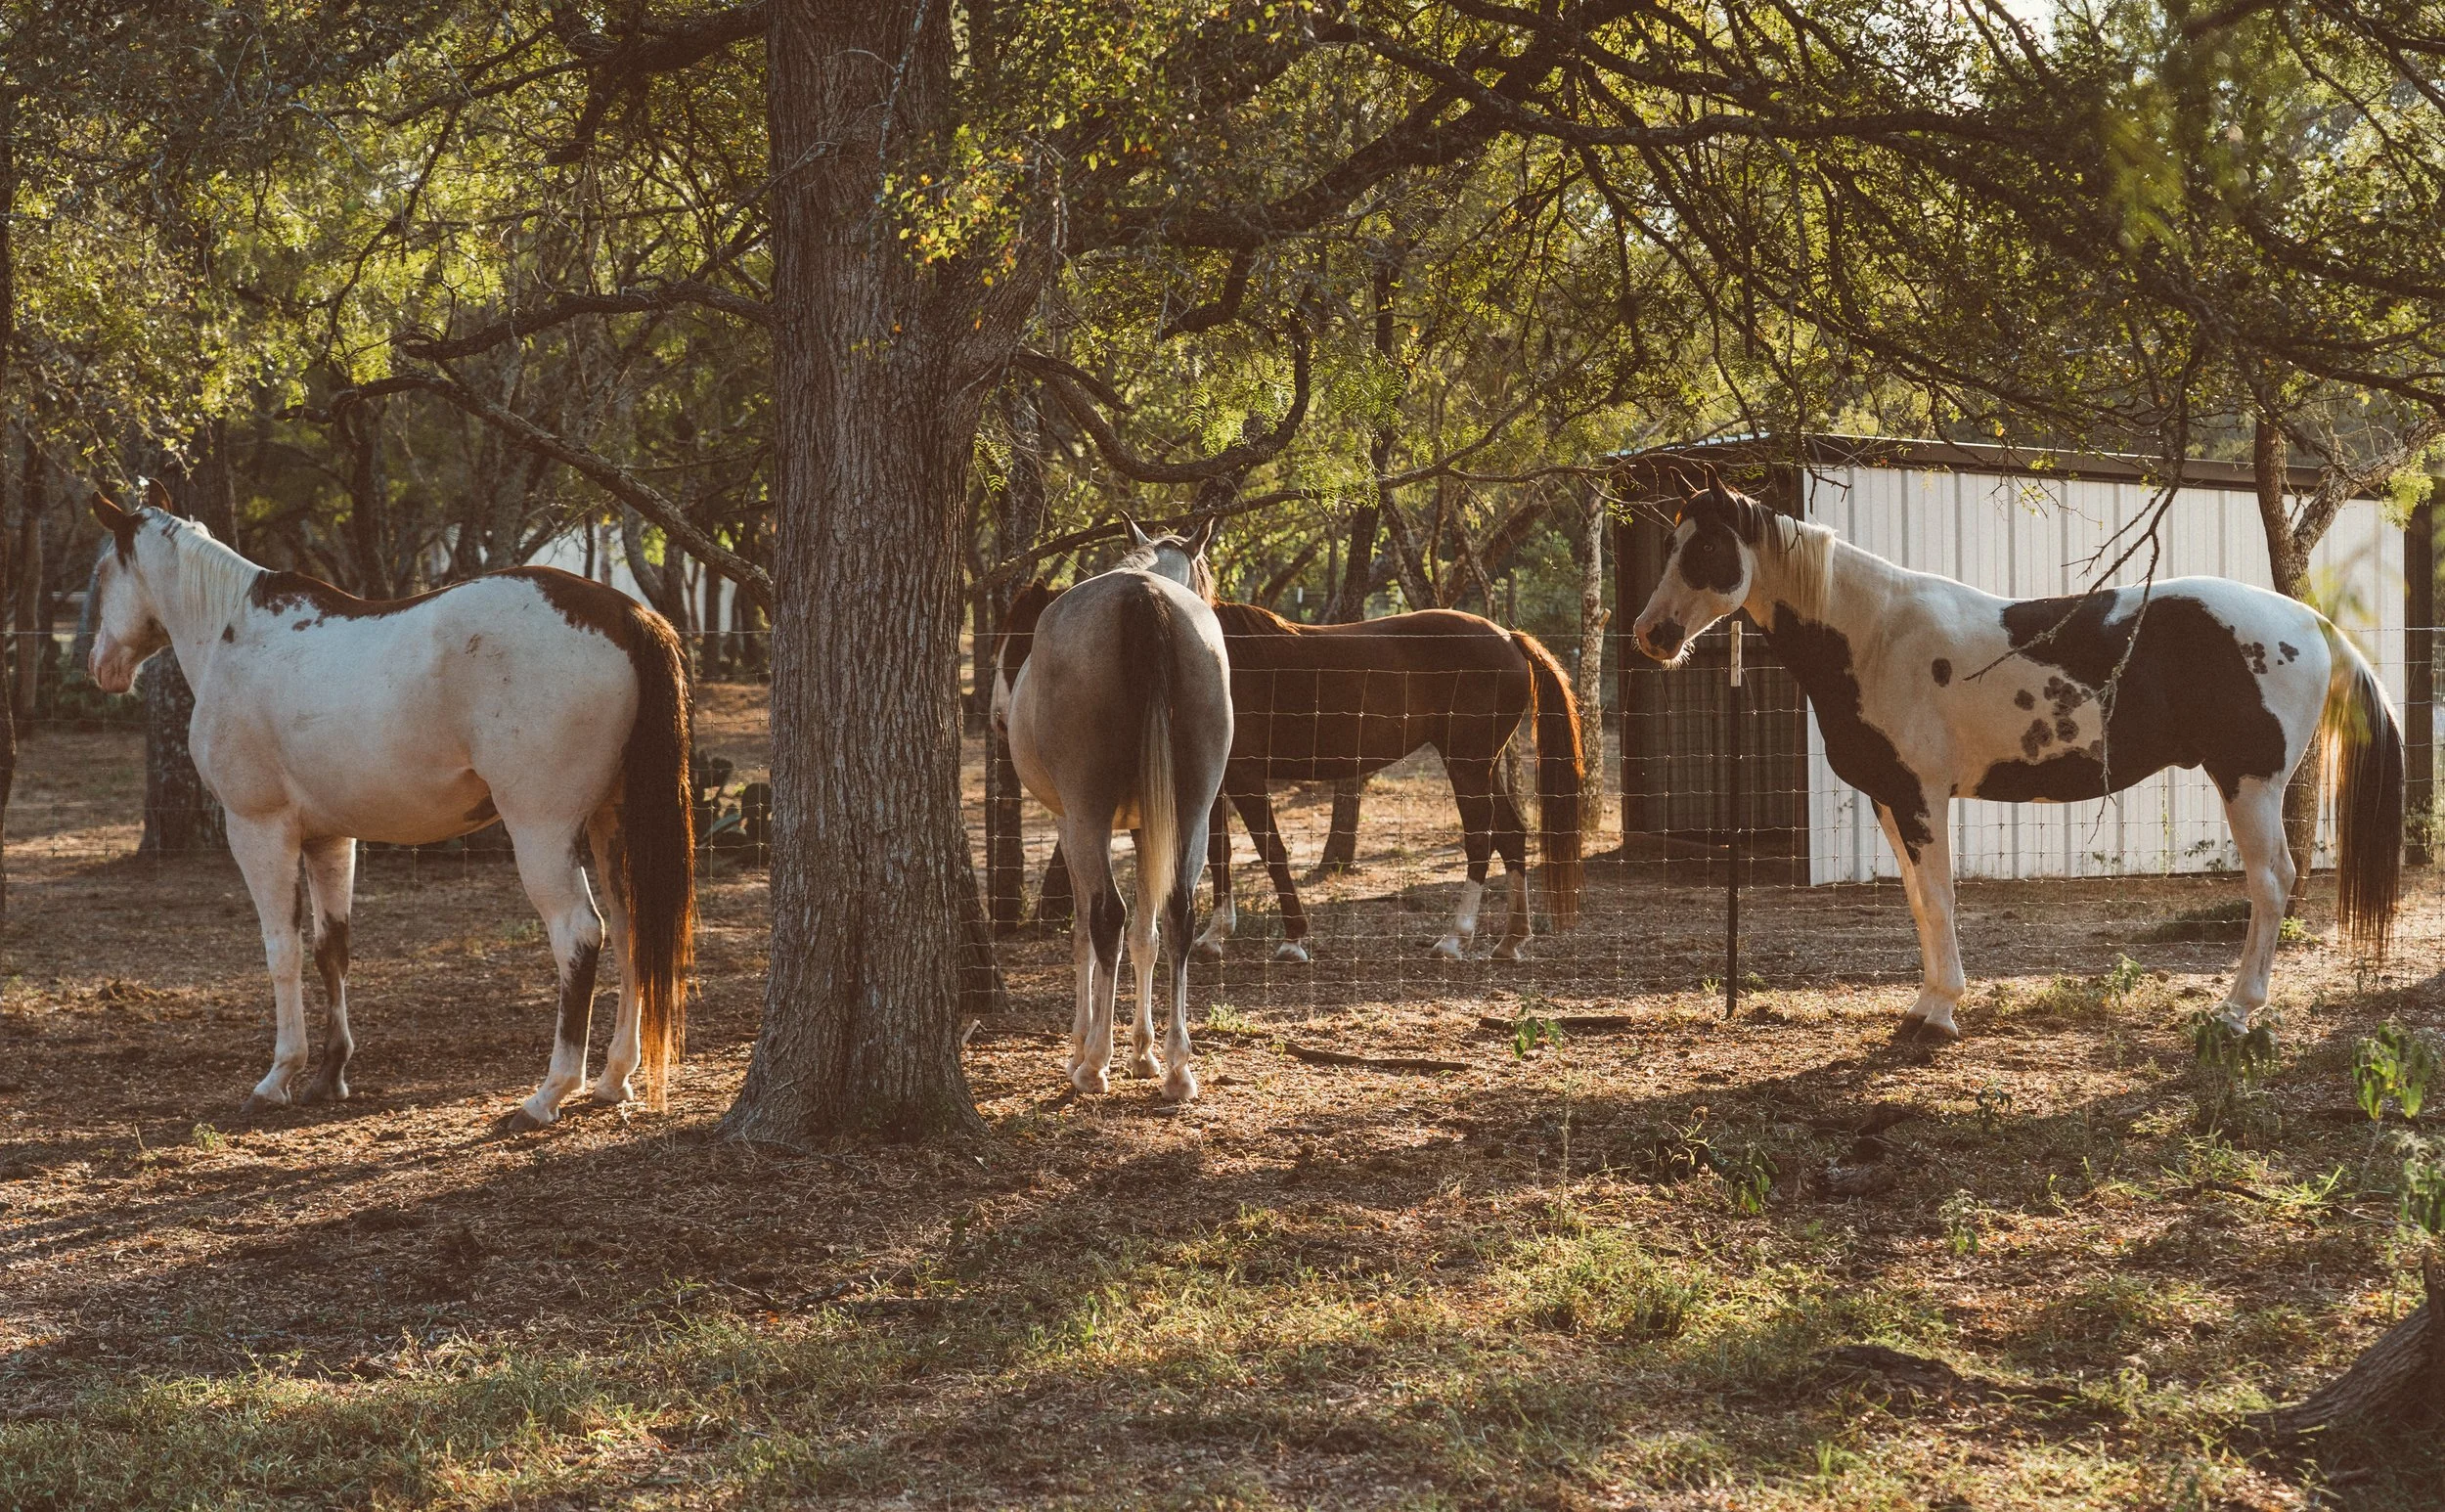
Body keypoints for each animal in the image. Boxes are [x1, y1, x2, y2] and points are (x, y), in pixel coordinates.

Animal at [85, 483, 695, 1129]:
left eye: (101, 573)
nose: (100, 667)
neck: (234, 633)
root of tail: (628, 615)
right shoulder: (330, 838)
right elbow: (332, 949)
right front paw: (329, 1074)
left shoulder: (259, 830)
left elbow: (282, 951)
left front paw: (278, 1076)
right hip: (613, 823)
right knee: (631, 930)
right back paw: (613, 1077)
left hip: (542, 830)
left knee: (579, 934)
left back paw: (547, 1094)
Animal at [993, 519, 1232, 1101]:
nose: (998, 716)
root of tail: (1141, 596)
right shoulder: (1150, 828)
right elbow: (1147, 935)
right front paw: (1144, 1053)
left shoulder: (1069, 823)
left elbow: (1085, 932)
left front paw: (1082, 1046)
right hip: (1192, 812)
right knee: (1177, 914)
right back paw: (1178, 1069)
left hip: (1086, 817)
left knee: (1107, 918)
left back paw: (1094, 1063)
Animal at [997, 591, 1585, 963]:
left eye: (1025, 645)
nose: (1001, 718)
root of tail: (1507, 637)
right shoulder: (1213, 786)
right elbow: (1219, 853)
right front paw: (1214, 936)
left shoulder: (1245, 780)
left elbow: (1270, 850)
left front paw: (1293, 939)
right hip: (1481, 764)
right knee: (1512, 834)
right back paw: (1510, 941)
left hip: (1465, 764)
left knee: (1481, 837)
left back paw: (1455, 939)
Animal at [1631, 480, 2402, 1041]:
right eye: (1668, 543)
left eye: (1707, 549)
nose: (1652, 634)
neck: (1875, 635)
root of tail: (2311, 622)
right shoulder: (1889, 798)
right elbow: (1920, 902)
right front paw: (1924, 1006)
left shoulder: (1922, 797)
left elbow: (1940, 898)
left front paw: (1940, 1015)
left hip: (2249, 784)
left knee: (2273, 884)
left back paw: (2236, 1011)